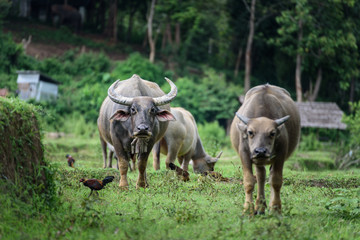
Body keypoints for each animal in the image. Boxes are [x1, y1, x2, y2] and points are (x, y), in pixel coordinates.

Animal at [231, 84, 300, 214]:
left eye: (272, 133)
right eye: (250, 132)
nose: (260, 151)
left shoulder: (281, 155)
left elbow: (276, 181)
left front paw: (276, 209)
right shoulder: (244, 154)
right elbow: (249, 181)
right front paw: (247, 209)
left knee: (268, 175)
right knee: (261, 176)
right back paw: (260, 207)